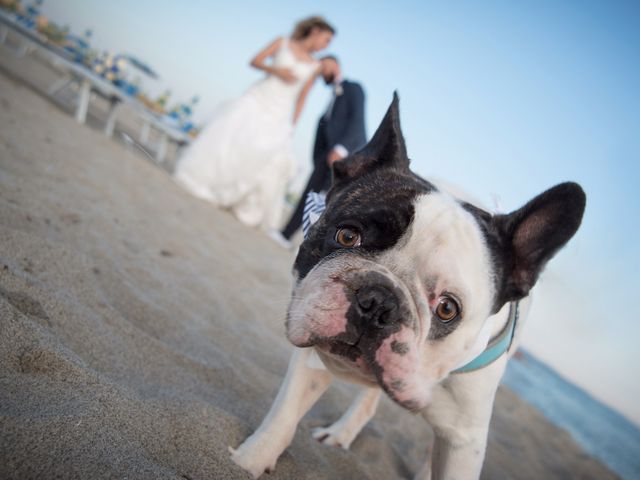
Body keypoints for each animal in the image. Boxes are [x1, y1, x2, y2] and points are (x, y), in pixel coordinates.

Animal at [230, 95, 584, 478]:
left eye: (447, 308)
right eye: (347, 236)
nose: (377, 302)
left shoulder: (464, 439)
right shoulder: (312, 354)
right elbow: (283, 416)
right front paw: (250, 460)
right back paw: (341, 433)